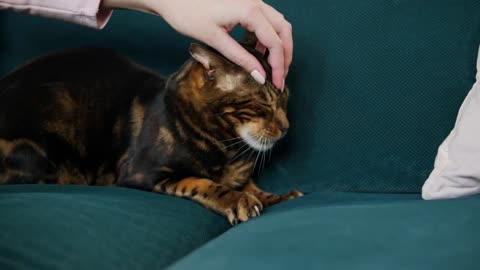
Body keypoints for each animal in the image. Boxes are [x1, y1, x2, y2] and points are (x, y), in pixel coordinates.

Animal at [0, 36, 300, 226]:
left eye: (286, 97)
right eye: (264, 103)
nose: (286, 127)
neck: (226, 147)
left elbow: (251, 185)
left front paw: (277, 197)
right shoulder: (144, 171)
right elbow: (202, 183)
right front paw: (238, 200)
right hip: (38, 153)